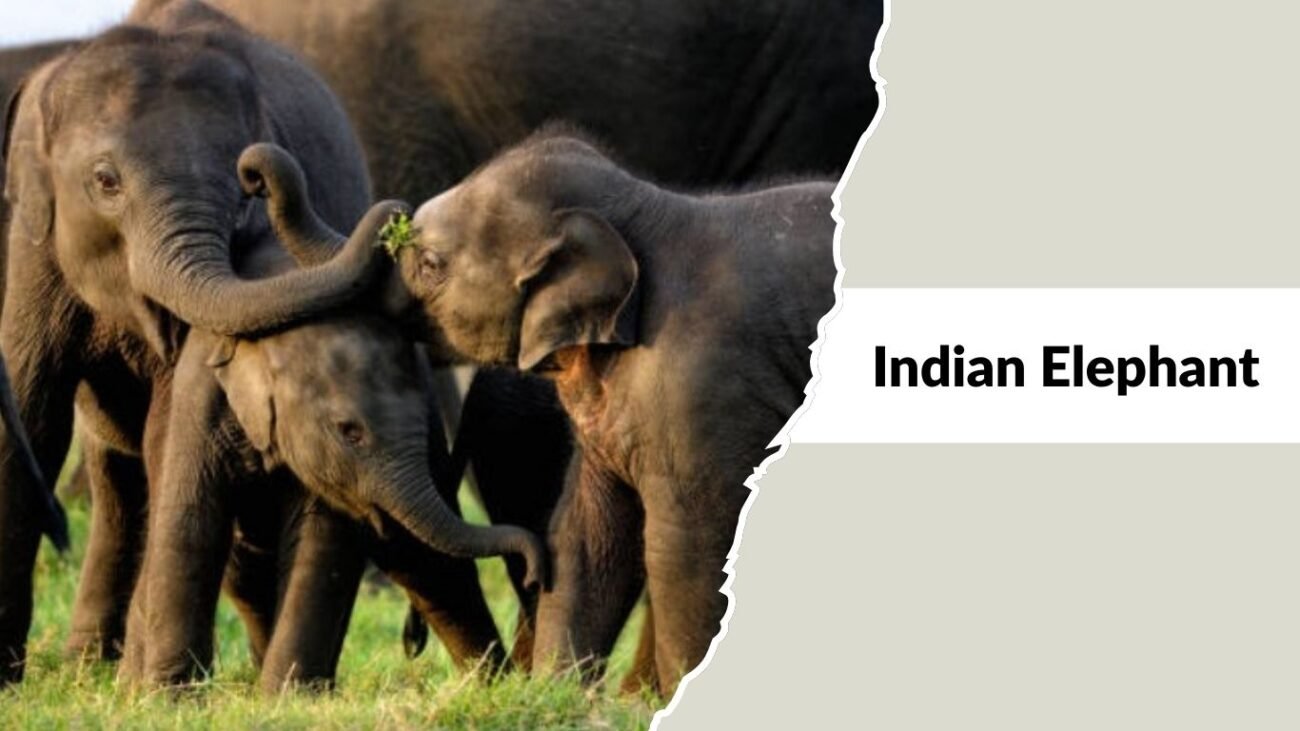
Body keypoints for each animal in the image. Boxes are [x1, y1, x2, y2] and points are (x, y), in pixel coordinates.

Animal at [0, 1, 409, 685]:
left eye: (242, 188)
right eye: (104, 181)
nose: (261, 171)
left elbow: (171, 426)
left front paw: (146, 686)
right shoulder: (34, 249)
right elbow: (32, 414)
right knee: (115, 477)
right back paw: (90, 667)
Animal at [262, 130, 838, 695]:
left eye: (430, 266)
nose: (254, 174)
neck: (650, 209)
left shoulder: (702, 382)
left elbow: (689, 546)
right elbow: (588, 529)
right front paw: (557, 696)